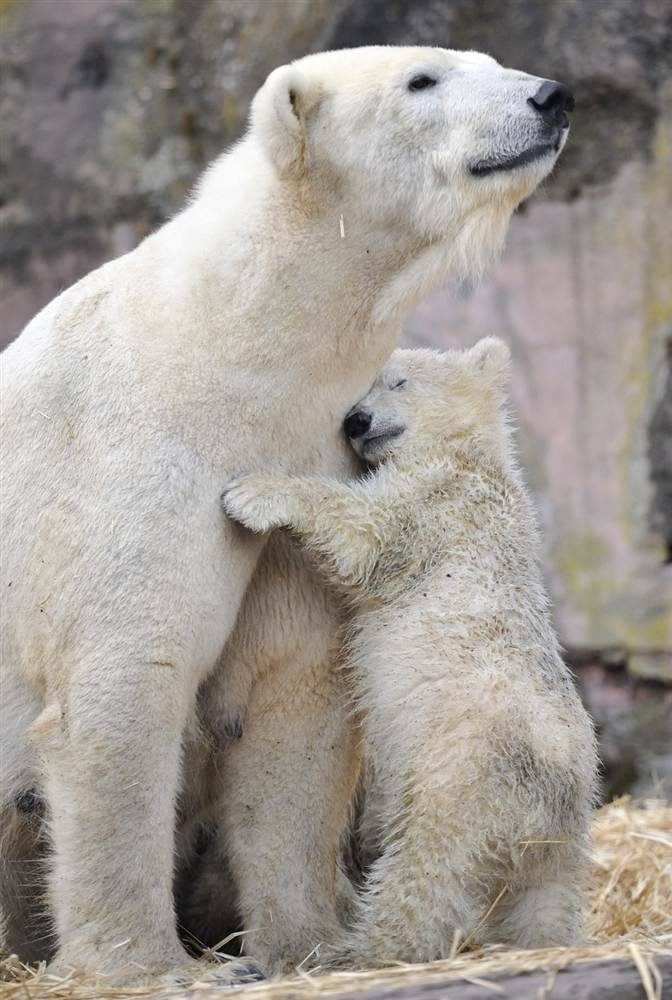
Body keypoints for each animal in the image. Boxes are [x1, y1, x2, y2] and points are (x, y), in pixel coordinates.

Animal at [1, 47, 572, 976]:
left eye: (485, 60)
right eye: (423, 79)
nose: (551, 97)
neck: (213, 359)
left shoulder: (307, 470)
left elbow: (292, 700)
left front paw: (297, 945)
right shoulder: (123, 474)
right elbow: (125, 683)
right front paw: (146, 966)